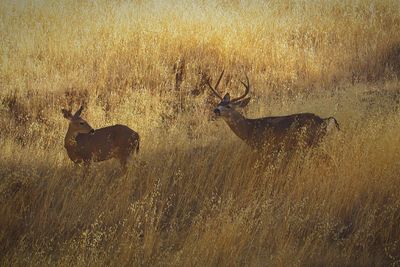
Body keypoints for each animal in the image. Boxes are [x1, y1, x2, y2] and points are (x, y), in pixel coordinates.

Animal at [208, 71, 340, 156]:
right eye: (219, 103)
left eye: (229, 106)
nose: (216, 110)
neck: (249, 129)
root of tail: (325, 120)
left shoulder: (265, 148)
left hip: (312, 142)